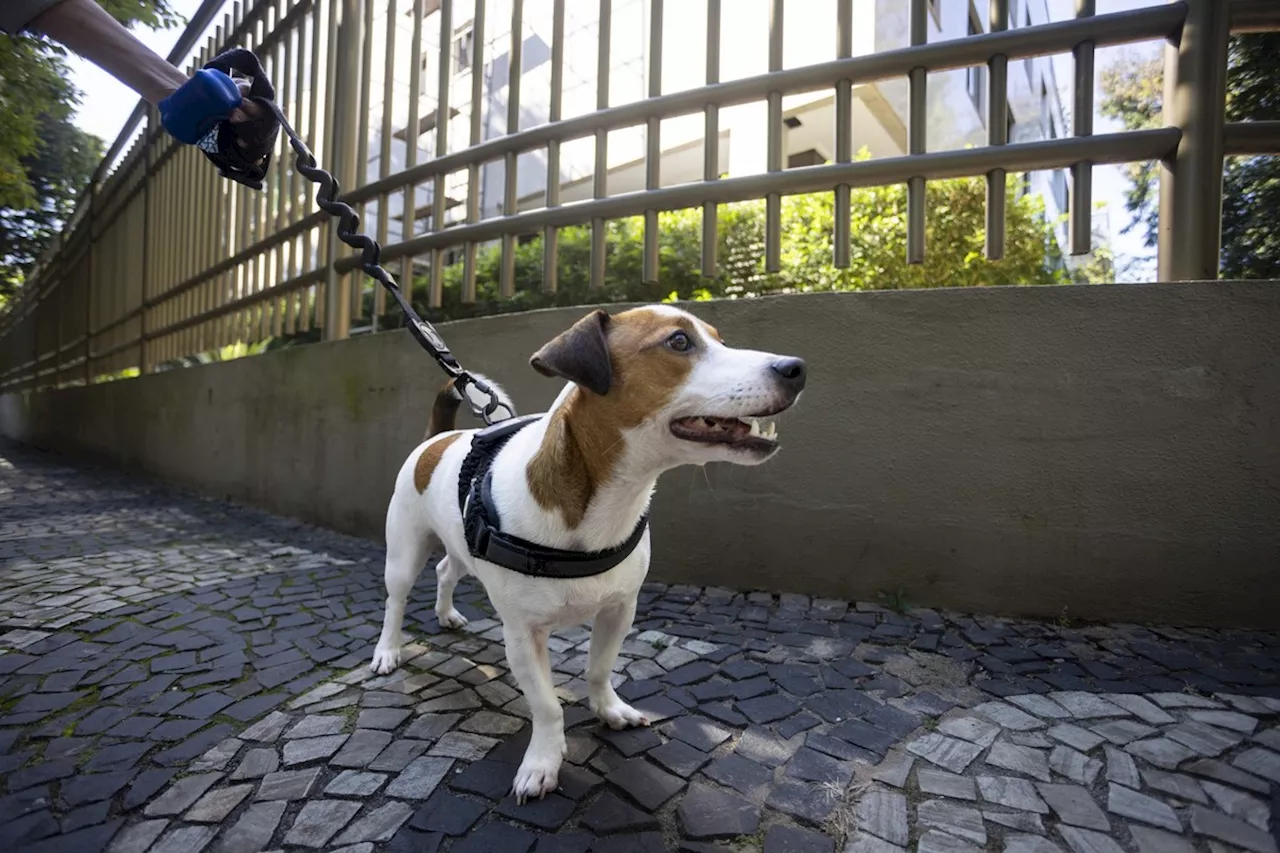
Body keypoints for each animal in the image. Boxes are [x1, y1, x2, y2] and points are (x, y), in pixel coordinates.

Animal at [373, 303, 803, 799]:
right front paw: (543, 760)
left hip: (463, 546)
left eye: (721, 340)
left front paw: (608, 709)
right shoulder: (522, 636)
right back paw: (387, 650)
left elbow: (598, 669)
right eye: (679, 342)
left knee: (446, 570)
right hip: (404, 552)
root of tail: (435, 440)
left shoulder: (619, 609)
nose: (796, 368)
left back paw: (446, 614)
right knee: (396, 600)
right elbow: (546, 705)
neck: (602, 505)